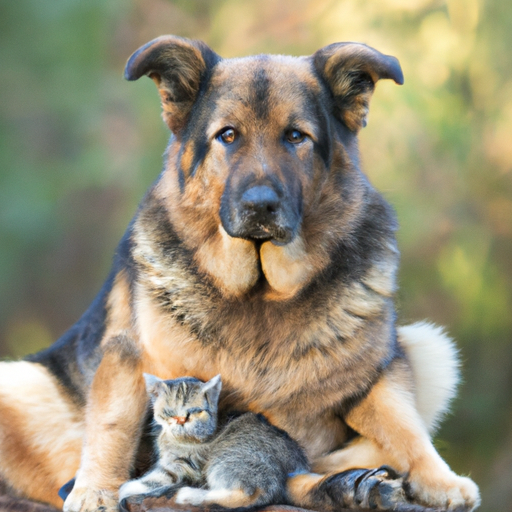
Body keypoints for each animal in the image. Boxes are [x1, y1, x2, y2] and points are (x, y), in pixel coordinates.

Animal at [119, 374, 312, 510]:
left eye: (194, 411)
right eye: (169, 412)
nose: (181, 420)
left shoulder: (185, 466)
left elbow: (156, 477)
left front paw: (128, 487)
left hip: (229, 459)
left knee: (249, 495)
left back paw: (188, 494)